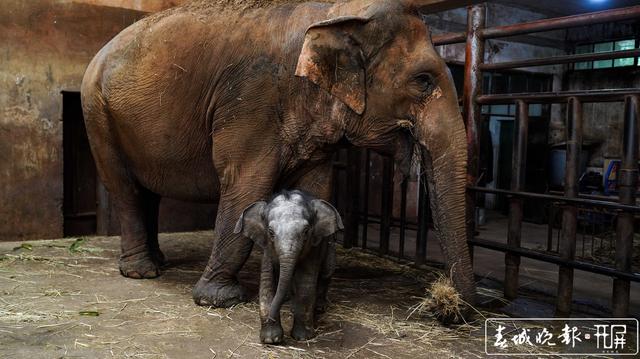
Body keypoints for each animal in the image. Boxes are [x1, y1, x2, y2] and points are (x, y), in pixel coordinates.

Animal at [81, 0, 476, 310]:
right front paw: (219, 299)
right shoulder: (252, 100)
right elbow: (247, 185)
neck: (334, 14)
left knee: (147, 192)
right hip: (96, 113)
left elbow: (316, 191)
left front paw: (308, 297)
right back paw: (141, 271)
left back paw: (158, 261)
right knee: (125, 189)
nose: (452, 308)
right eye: (423, 81)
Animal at [234, 191, 342, 346]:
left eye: (306, 231)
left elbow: (305, 282)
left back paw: (319, 308)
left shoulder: (313, 248)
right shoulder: (268, 249)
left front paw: (303, 338)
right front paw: (271, 339)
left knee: (326, 272)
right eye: (271, 232)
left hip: (330, 244)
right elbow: (267, 281)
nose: (271, 318)